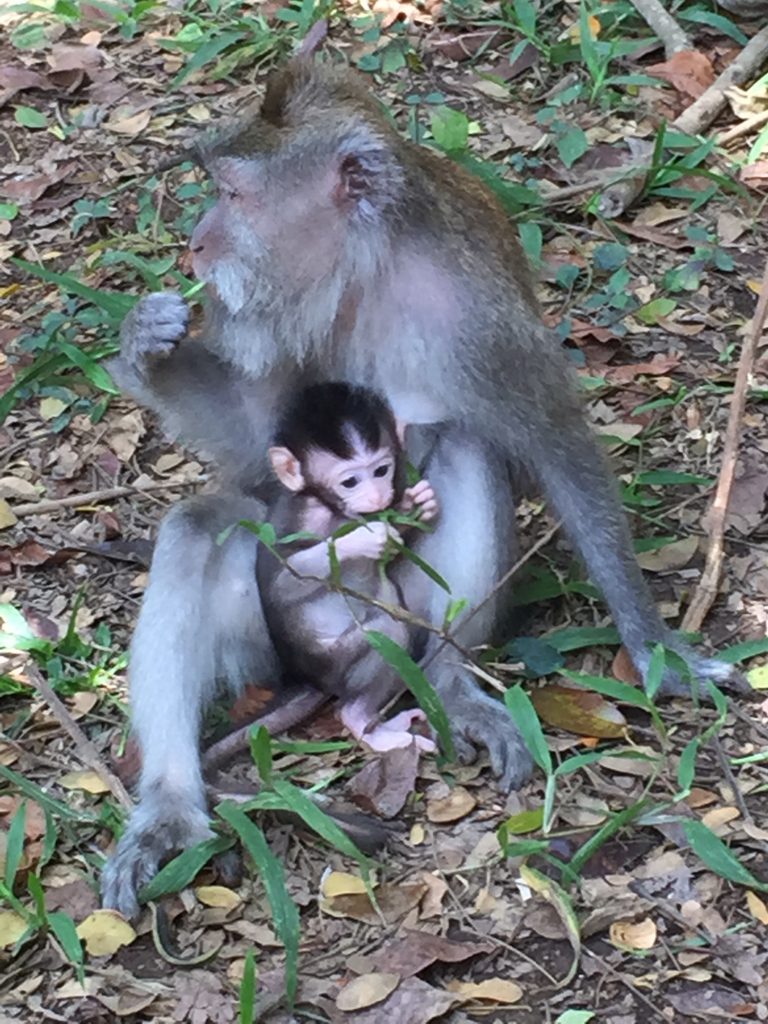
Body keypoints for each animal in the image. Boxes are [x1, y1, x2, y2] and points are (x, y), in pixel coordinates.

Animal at [258, 381, 438, 753]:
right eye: (350, 482)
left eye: (382, 471)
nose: (377, 497)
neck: (330, 507)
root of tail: (312, 680)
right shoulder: (301, 518)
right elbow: (282, 583)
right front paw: (362, 539)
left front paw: (416, 504)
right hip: (335, 663)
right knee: (387, 631)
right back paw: (359, 720)